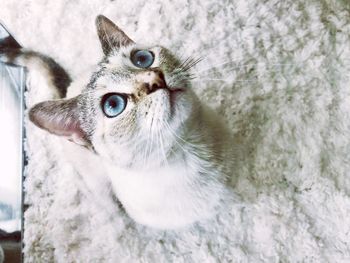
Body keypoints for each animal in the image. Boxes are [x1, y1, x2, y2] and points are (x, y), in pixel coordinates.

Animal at [1, 14, 235, 231]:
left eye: (142, 59)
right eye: (113, 105)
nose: (155, 79)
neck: (193, 150)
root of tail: (68, 89)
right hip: (97, 186)